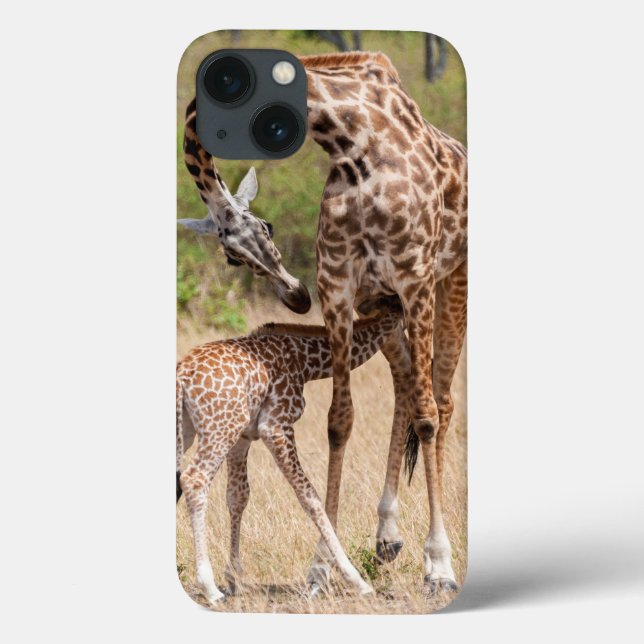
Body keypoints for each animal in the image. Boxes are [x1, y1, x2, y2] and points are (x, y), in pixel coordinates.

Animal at [176, 297, 403, 606]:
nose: (404, 359)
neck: (305, 362)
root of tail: (183, 376)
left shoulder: (243, 437)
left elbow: (237, 497)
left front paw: (234, 579)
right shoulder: (276, 426)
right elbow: (310, 498)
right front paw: (356, 580)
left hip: (191, 430)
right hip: (217, 429)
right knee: (194, 480)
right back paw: (209, 588)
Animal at [297, 52, 468, 595]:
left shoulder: (415, 280)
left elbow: (429, 416)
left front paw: (439, 564)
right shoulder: (337, 289)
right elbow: (338, 421)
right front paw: (321, 567)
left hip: (450, 287)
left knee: (439, 400)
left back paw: (430, 557)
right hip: (384, 310)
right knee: (406, 389)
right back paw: (386, 535)